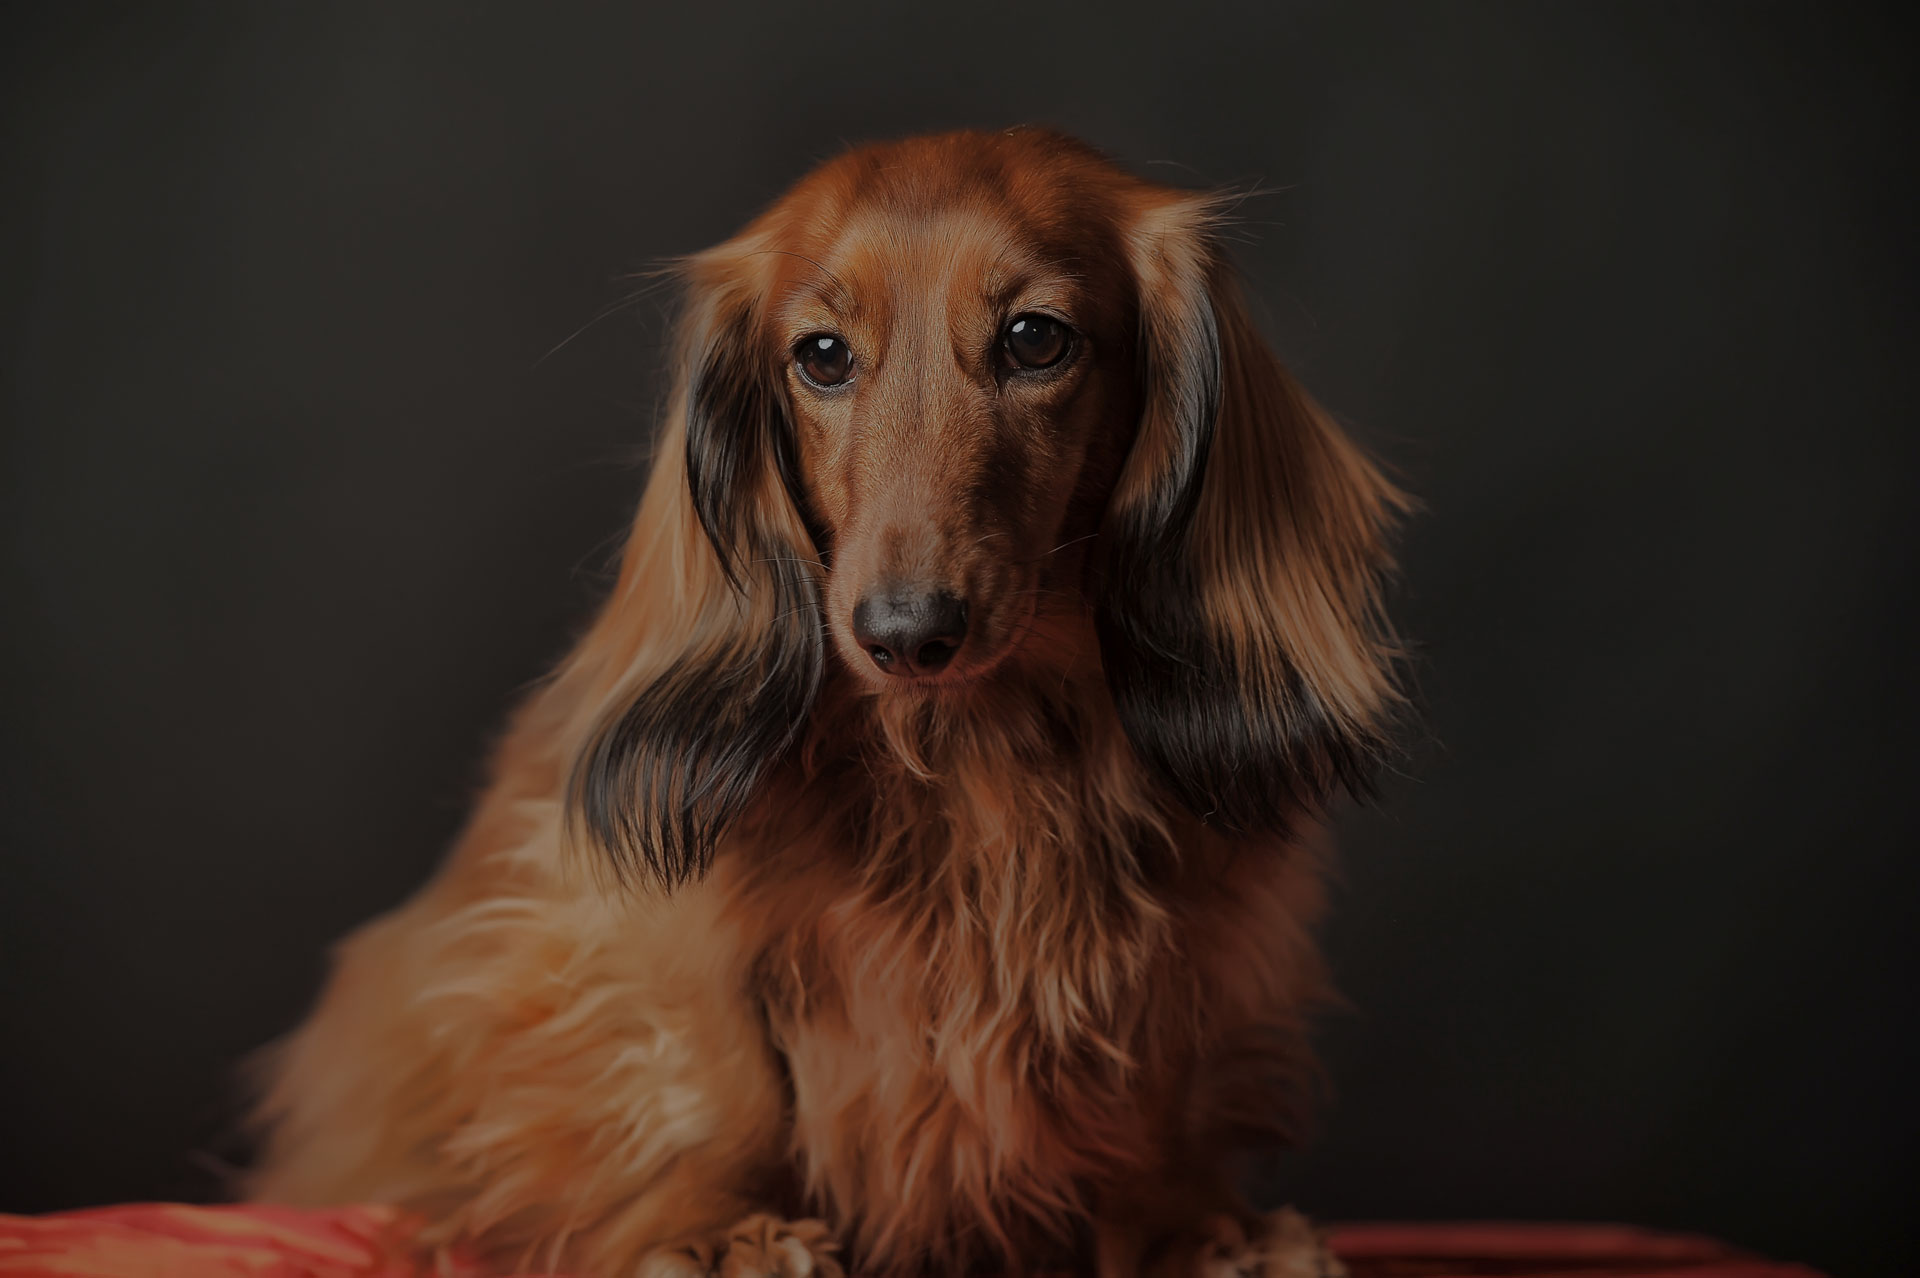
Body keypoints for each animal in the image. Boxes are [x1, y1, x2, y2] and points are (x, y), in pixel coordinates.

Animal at [247, 124, 1405, 1266]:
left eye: (1036, 339)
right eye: (823, 355)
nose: (905, 634)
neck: (971, 748)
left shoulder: (1197, 946)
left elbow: (1162, 1098)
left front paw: (1193, 1230)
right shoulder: (622, 927)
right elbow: (717, 1078)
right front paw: (723, 1235)